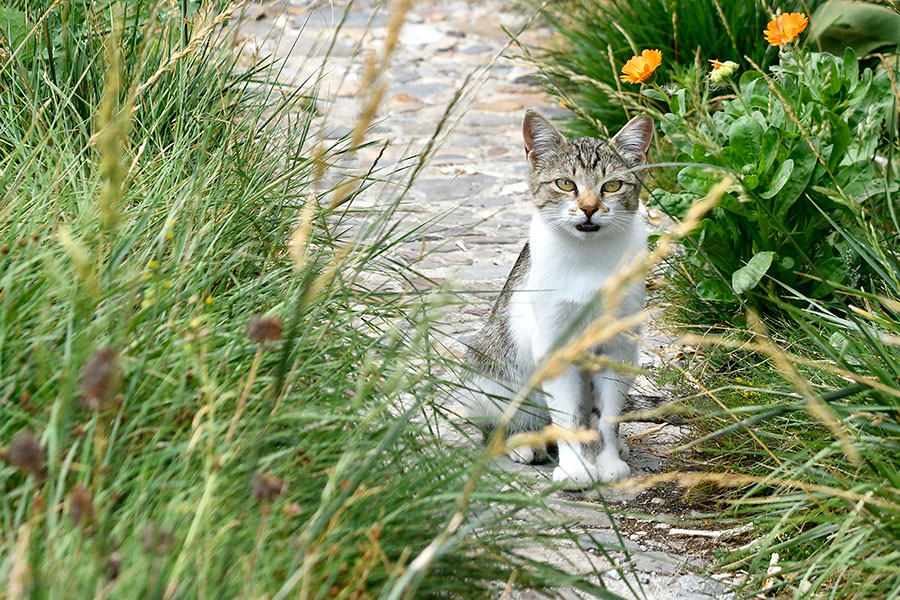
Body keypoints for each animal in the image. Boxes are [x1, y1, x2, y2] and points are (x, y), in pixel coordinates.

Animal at [460, 110, 652, 490]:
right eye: (565, 184)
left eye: (612, 186)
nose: (590, 209)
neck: (590, 256)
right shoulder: (554, 343)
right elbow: (568, 416)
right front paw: (576, 468)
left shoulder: (618, 346)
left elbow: (606, 415)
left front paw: (607, 461)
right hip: (488, 371)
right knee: (498, 425)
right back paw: (523, 444)